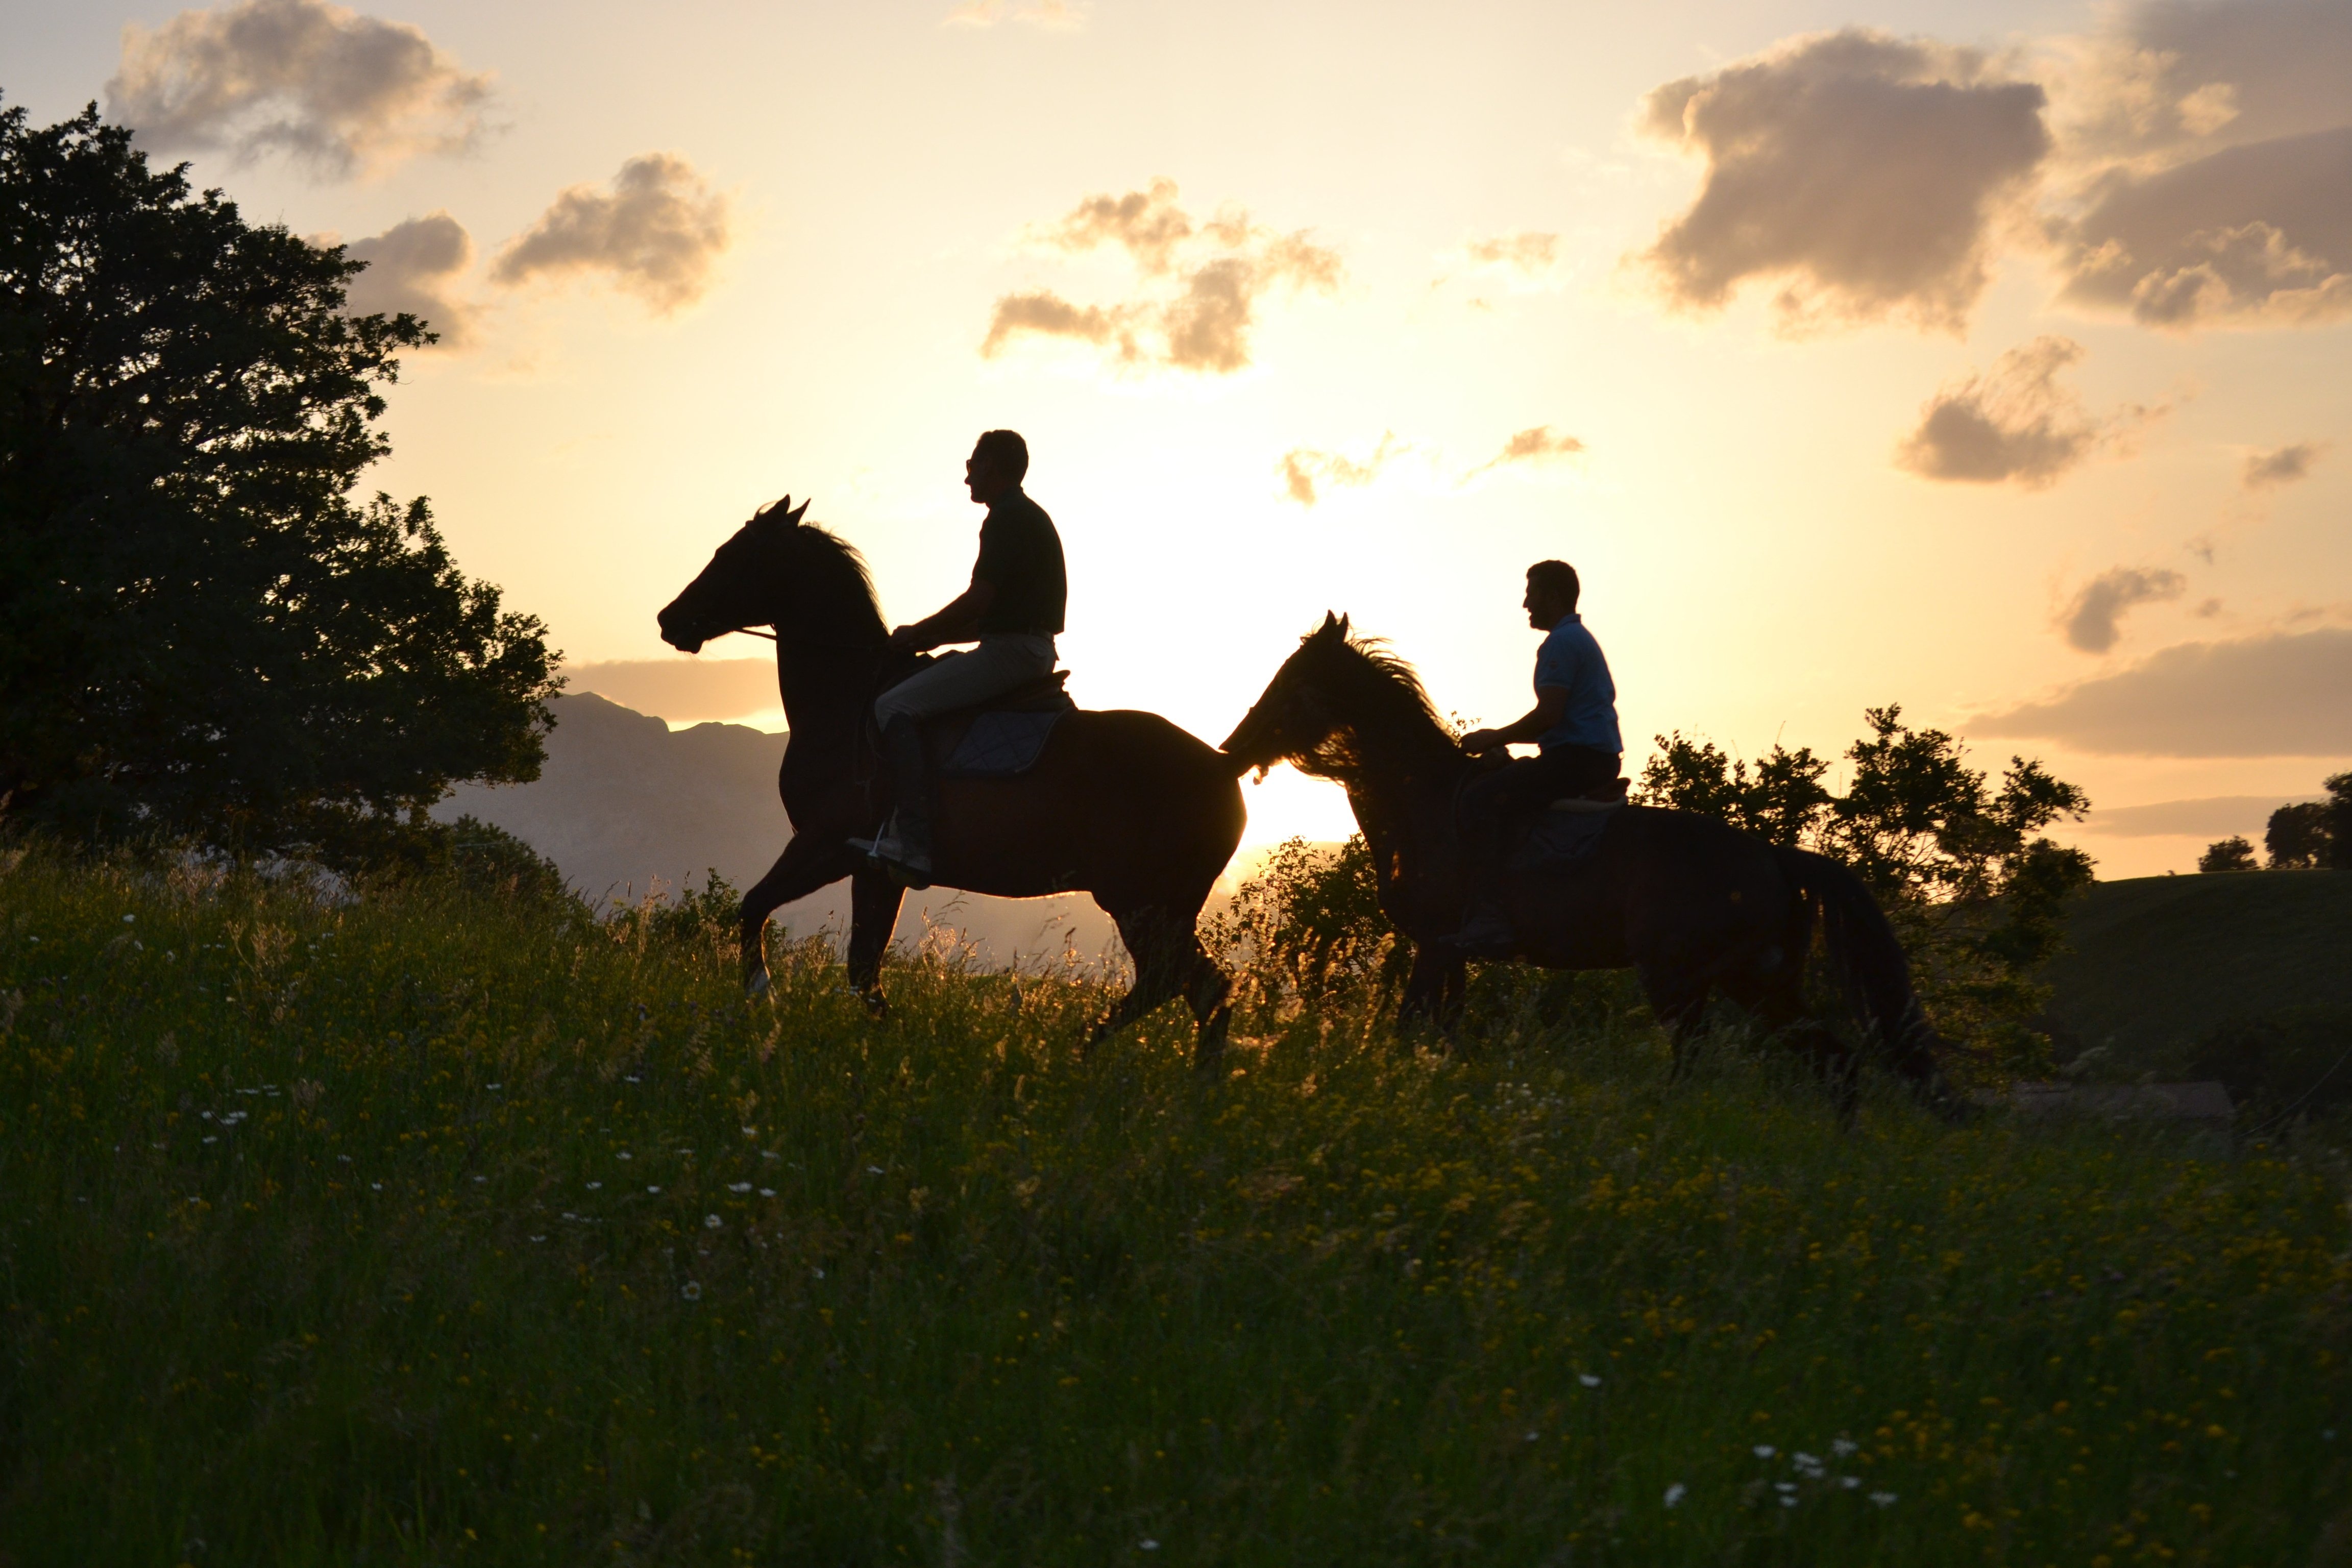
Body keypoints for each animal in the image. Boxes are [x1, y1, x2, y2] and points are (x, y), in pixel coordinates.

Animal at [654, 503, 1251, 1067]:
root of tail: (1224, 765)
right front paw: (893, 1047)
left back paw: (1076, 1052)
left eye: (732, 555)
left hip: (1142, 901)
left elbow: (754, 907)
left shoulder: (825, 844)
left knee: (1174, 983)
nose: (668, 618)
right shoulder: (873, 868)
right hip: (1163, 905)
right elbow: (862, 972)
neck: (846, 698)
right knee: (1205, 991)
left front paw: (763, 997)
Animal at [1223, 611, 1956, 1114]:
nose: (1233, 747)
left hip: (1682, 981)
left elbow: (1410, 1032)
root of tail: (1773, 856)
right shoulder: (1448, 956)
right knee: (1837, 1065)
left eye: (1292, 682)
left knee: (1702, 1062)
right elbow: (1439, 1041)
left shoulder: (1435, 944)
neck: (1422, 800)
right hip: (1758, 981)